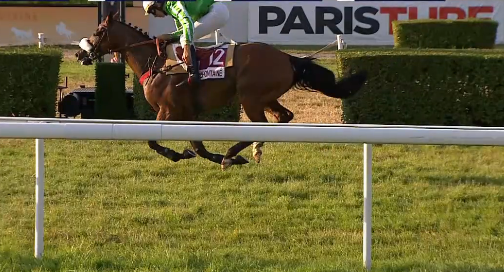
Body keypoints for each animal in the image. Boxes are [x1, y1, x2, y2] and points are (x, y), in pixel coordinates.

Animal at [74, 12, 366, 170]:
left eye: (99, 30)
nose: (79, 53)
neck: (155, 63)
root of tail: (288, 57)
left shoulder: (168, 111)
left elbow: (153, 142)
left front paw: (179, 154)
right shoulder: (188, 115)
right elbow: (198, 148)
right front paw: (190, 153)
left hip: (250, 97)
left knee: (259, 124)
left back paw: (232, 153)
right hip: (266, 97)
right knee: (283, 117)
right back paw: (252, 151)